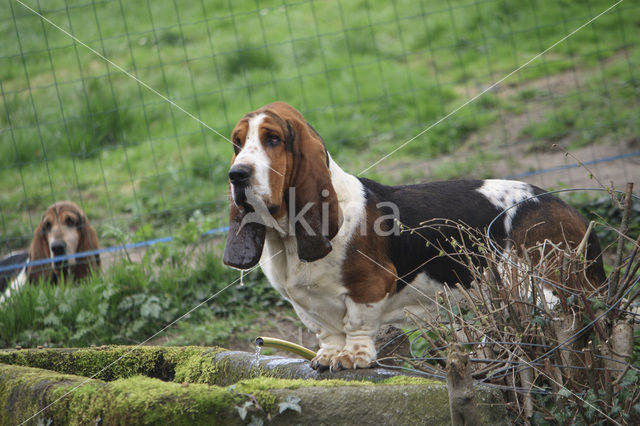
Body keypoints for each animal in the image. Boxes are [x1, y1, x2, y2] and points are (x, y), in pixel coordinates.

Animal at [225, 101, 604, 372]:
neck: (287, 237)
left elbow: (357, 323)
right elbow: (328, 332)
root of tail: (566, 208)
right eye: (237, 143)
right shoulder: (306, 306)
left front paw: (353, 357)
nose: (237, 174)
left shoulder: (369, 288)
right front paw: (330, 355)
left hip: (538, 286)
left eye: (273, 139)